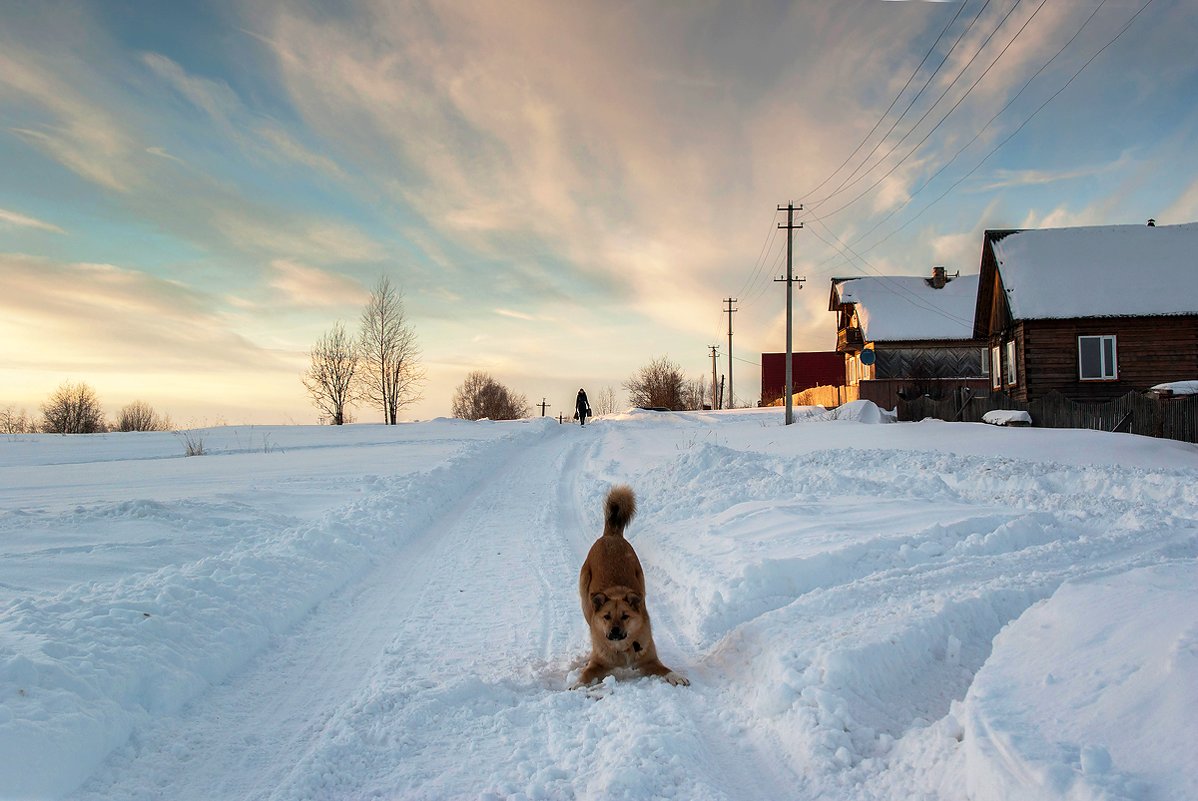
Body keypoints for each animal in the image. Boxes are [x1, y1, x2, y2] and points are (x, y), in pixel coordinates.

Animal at [572, 483, 690, 689]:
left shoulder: (650, 659)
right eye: (606, 616)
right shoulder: (598, 662)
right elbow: (586, 674)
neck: (622, 649)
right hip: (585, 602)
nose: (614, 631)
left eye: (625, 616)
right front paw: (576, 684)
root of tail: (610, 535)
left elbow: (666, 669)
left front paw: (677, 676)